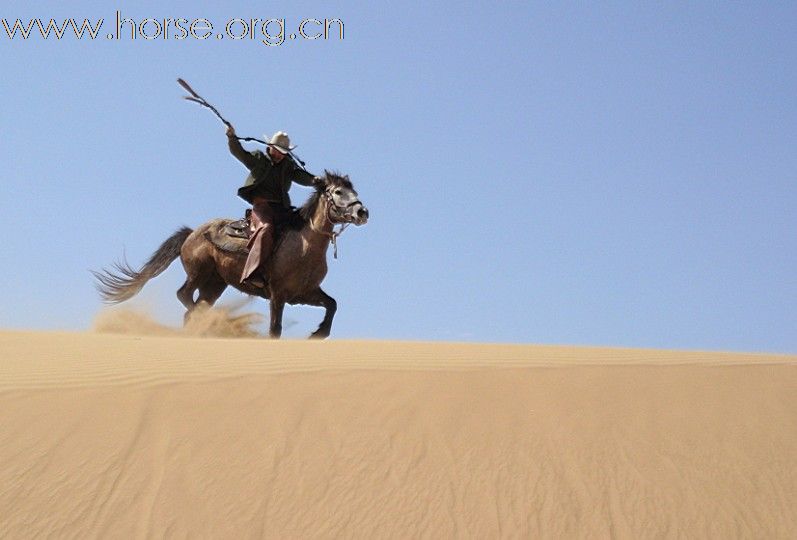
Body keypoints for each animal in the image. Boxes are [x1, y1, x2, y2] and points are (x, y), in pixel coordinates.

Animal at [93, 172, 369, 339]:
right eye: (338, 192)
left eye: (353, 190)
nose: (362, 212)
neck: (303, 245)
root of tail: (192, 233)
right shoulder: (278, 294)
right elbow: (275, 328)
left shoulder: (305, 293)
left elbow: (332, 304)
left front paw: (319, 333)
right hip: (199, 272)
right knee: (184, 296)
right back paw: (218, 324)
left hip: (215, 284)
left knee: (194, 307)